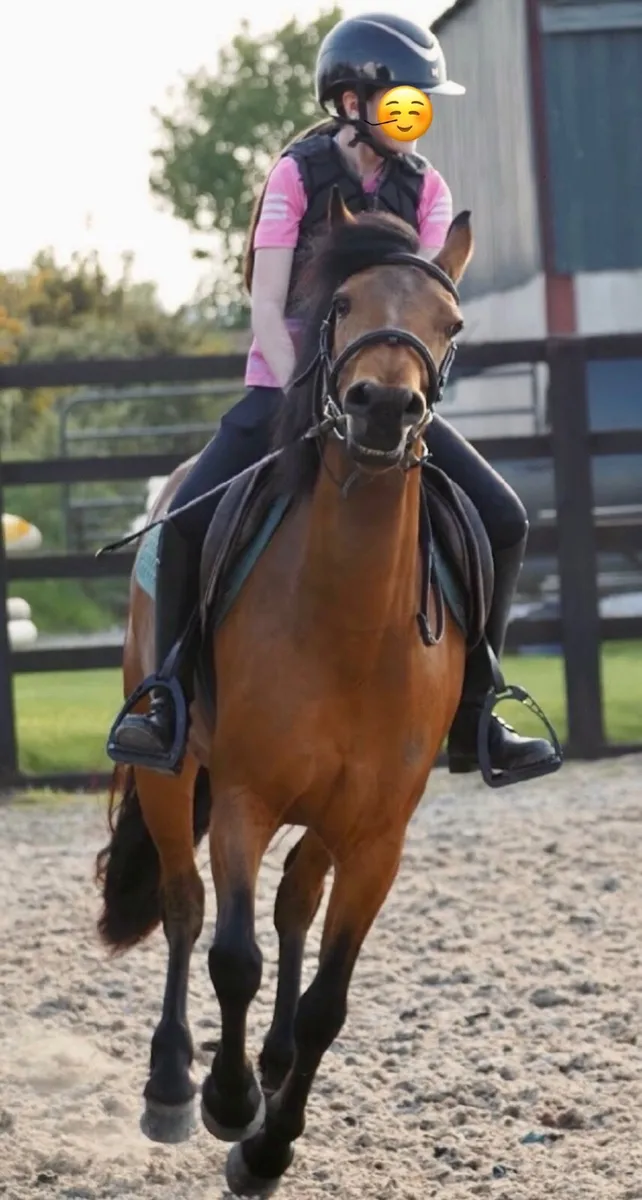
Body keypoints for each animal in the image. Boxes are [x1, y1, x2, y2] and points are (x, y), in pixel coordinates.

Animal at [95, 190, 485, 1197]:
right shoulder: (243, 797)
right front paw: (229, 1106)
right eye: (339, 306)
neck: (349, 621)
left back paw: (268, 1072)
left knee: (296, 904)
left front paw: (269, 1145)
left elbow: (326, 1003)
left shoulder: (379, 836)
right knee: (186, 906)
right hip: (171, 774)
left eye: (451, 324)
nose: (384, 405)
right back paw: (174, 1085)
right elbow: (232, 954)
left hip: (329, 820)